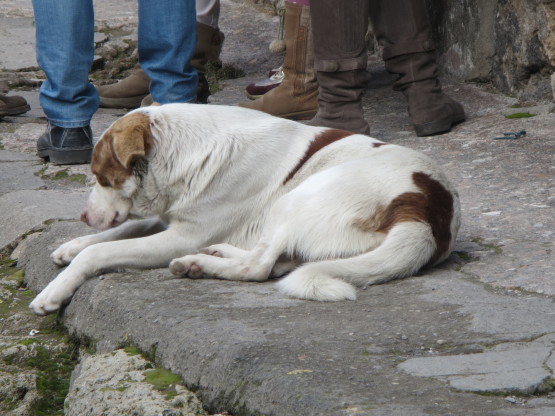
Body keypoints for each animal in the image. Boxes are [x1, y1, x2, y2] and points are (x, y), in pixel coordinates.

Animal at [31, 103, 464, 316]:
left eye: (102, 177)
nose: (84, 216)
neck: (187, 152)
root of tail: (427, 210)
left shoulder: (181, 235)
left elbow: (101, 251)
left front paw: (56, 290)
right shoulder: (173, 221)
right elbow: (117, 232)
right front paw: (72, 244)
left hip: (299, 199)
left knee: (259, 267)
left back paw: (201, 263)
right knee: (274, 261)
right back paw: (211, 257)